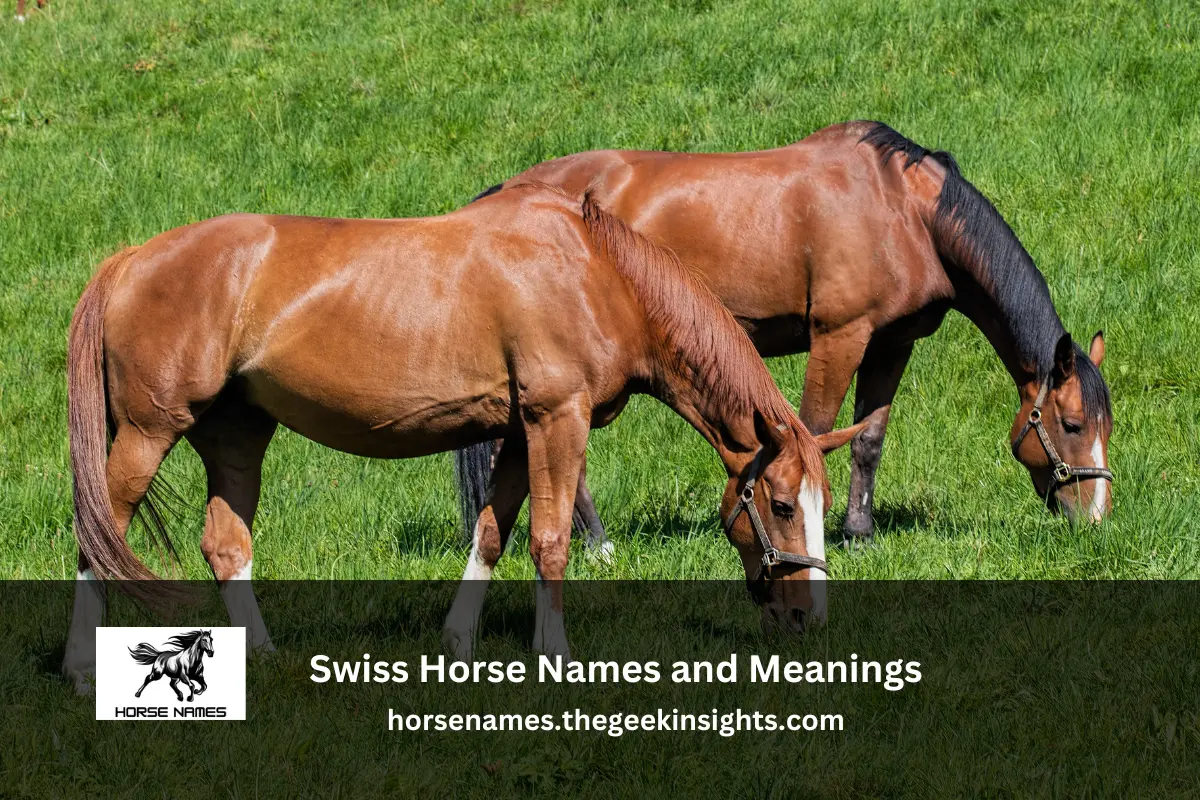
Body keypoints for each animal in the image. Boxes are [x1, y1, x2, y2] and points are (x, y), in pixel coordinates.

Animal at [61, 186, 865, 692]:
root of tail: (130, 259)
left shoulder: (515, 431)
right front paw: (555, 656)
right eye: (782, 505)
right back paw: (78, 669)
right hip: (147, 434)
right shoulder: (555, 420)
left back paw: (261, 656)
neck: (595, 274)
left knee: (226, 545)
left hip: (238, 435)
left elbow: (491, 535)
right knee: (97, 536)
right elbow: (549, 540)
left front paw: (457, 644)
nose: (809, 617)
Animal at [455, 121, 1113, 553]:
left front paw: (859, 534)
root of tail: (508, 191)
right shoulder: (838, 336)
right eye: (1072, 424)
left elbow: (868, 438)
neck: (904, 210)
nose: (1097, 520)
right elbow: (815, 428)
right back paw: (598, 545)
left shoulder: (891, 344)